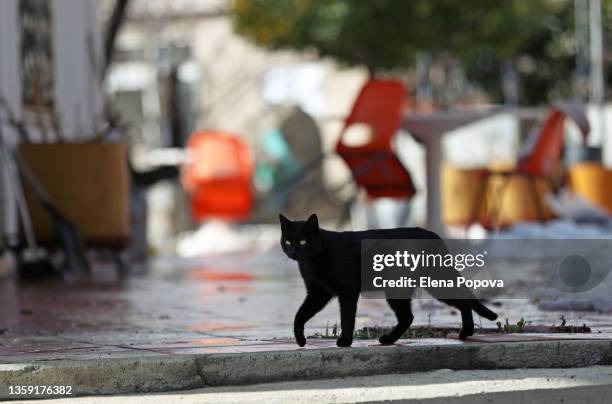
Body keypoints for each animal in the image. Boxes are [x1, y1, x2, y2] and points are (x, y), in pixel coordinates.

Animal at [280, 215, 500, 348]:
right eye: (288, 241)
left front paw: (345, 341)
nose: (293, 251)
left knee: (456, 303)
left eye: (303, 242)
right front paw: (300, 339)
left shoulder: (347, 292)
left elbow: (347, 318)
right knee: (413, 315)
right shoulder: (318, 293)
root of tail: (434, 235)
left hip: (425, 284)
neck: (311, 261)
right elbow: (300, 315)